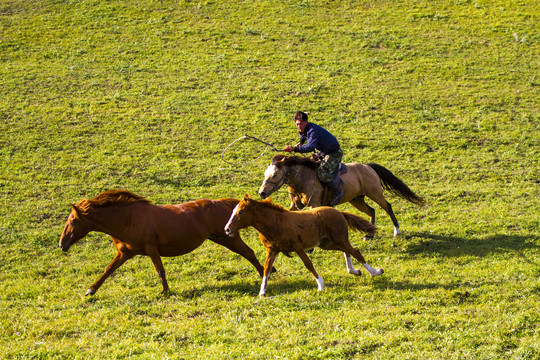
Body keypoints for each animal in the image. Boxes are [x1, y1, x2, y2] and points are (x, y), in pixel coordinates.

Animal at [59, 188, 268, 296]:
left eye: (73, 221)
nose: (62, 244)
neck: (127, 218)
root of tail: (221, 202)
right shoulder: (125, 253)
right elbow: (108, 270)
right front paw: (91, 290)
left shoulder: (151, 248)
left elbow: (160, 270)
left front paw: (165, 291)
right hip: (221, 238)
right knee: (247, 252)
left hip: (227, 237)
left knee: (248, 252)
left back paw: (265, 273)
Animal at [225, 195, 384, 296]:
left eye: (241, 212)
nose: (227, 229)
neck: (275, 223)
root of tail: (339, 212)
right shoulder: (272, 250)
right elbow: (266, 269)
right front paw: (262, 292)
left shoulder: (297, 247)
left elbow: (308, 264)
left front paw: (321, 285)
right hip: (327, 243)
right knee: (347, 251)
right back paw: (354, 271)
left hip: (338, 239)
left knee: (356, 252)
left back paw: (375, 272)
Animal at [258, 153, 426, 238]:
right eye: (265, 174)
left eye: (274, 175)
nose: (262, 192)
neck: (303, 178)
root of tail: (367, 167)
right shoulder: (295, 206)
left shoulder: (315, 204)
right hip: (356, 200)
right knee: (371, 211)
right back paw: (369, 233)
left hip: (375, 193)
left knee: (387, 207)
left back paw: (396, 230)